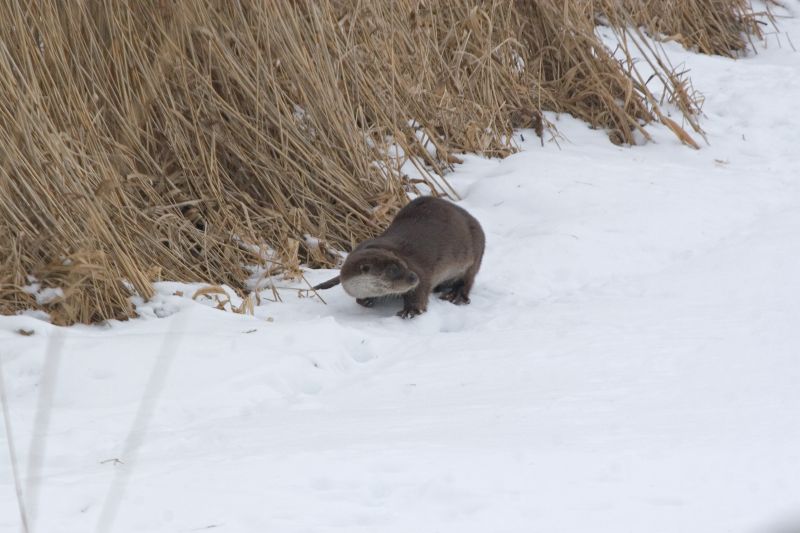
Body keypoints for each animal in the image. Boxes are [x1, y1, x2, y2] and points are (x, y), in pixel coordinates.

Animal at [310, 196, 484, 318]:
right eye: (393, 270)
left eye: (404, 265)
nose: (413, 277)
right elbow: (360, 300)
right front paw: (366, 300)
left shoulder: (421, 271)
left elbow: (421, 288)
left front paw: (411, 310)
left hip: (475, 252)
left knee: (468, 279)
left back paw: (456, 295)